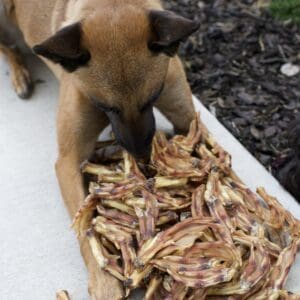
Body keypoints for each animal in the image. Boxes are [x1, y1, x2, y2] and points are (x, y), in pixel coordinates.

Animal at [1, 1, 199, 298]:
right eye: (106, 106)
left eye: (152, 98)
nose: (141, 154)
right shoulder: (68, 161)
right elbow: (85, 225)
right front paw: (105, 282)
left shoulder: (187, 120)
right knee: (6, 46)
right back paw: (19, 73)